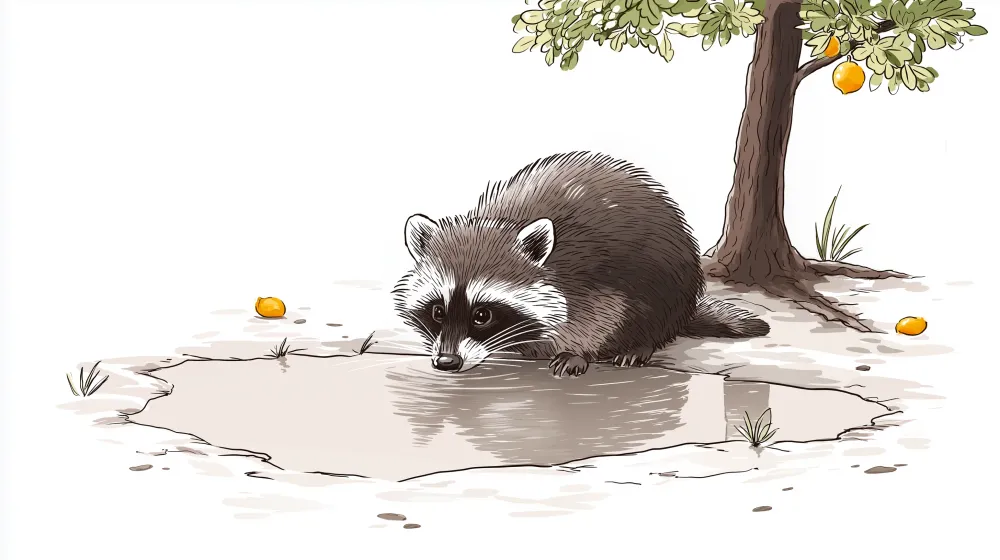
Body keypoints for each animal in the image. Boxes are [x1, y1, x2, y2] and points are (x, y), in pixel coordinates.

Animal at [391, 151, 769, 378]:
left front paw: (578, 351)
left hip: (669, 276)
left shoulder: (594, 277)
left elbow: (599, 317)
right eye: (437, 311)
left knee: (653, 313)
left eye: (482, 314)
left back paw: (640, 343)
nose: (447, 363)